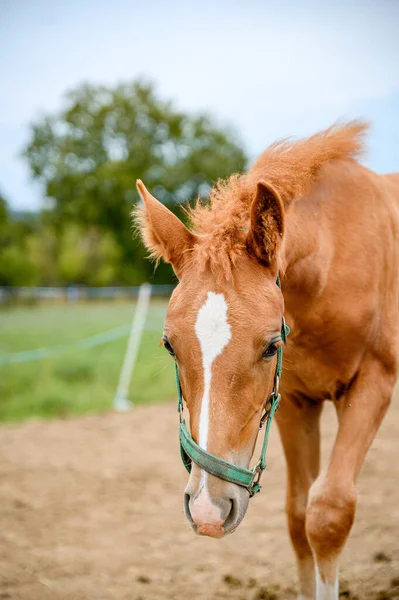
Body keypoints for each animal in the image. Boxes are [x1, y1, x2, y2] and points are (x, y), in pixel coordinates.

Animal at [135, 123, 399, 600]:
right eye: (169, 346)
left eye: (271, 347)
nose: (208, 510)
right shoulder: (293, 401)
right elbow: (298, 516)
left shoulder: (374, 384)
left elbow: (329, 513)